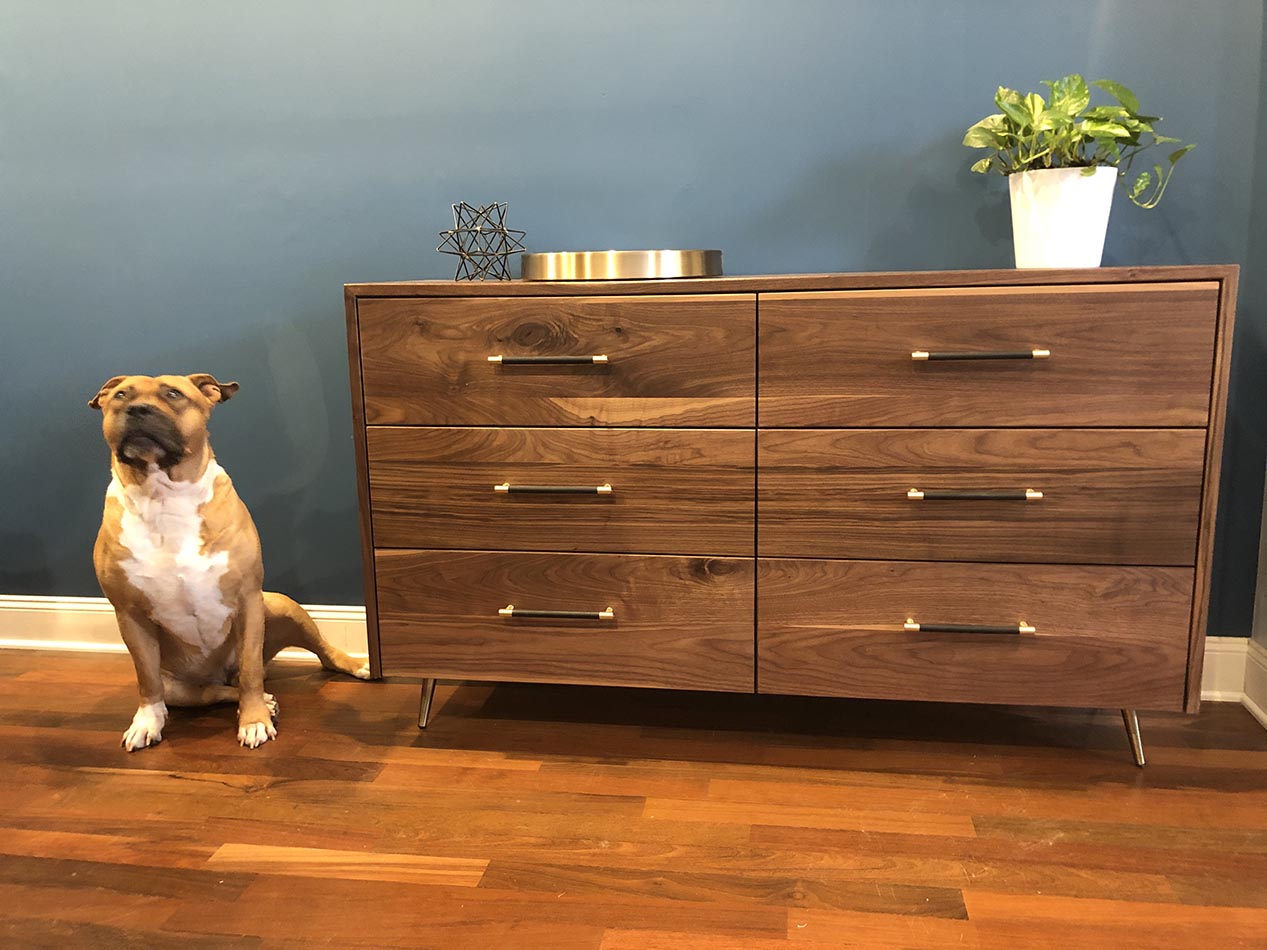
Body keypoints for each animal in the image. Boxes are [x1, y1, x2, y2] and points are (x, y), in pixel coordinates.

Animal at [90, 373, 369, 751]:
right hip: (180, 687)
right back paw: (260, 700)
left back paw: (355, 667)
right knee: (212, 690)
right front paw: (146, 723)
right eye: (120, 395)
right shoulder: (129, 614)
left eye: (173, 394)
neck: (164, 498)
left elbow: (251, 671)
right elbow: (146, 680)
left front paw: (253, 721)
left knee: (316, 655)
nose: (137, 409)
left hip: (282, 606)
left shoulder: (248, 601)